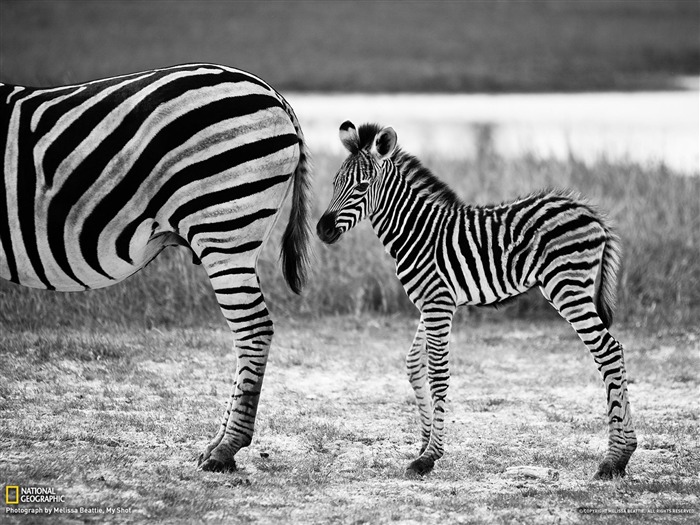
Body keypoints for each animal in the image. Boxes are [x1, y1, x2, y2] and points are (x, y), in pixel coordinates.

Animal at [320, 119, 636, 478]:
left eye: (362, 186)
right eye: (335, 183)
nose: (322, 230)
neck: (417, 232)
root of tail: (592, 214)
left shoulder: (438, 304)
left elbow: (437, 374)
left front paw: (429, 457)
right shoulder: (430, 303)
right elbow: (415, 364)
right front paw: (424, 442)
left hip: (567, 287)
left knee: (609, 351)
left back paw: (614, 459)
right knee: (612, 351)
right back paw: (623, 455)